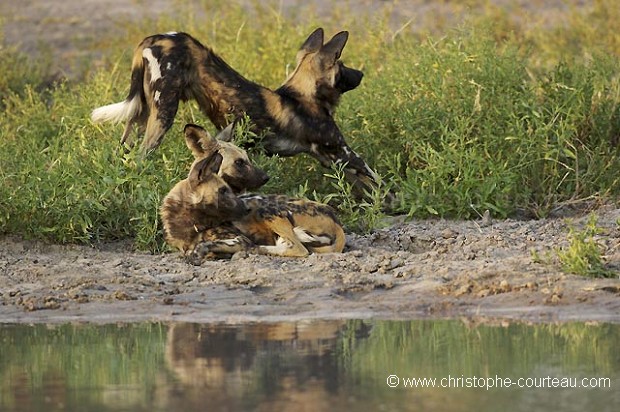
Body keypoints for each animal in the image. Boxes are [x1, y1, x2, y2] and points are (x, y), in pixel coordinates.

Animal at [91, 28, 382, 196]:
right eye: (343, 65)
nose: (361, 74)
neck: (304, 96)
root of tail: (152, 38)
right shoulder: (345, 154)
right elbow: (379, 180)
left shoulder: (331, 159)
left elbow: (368, 188)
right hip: (163, 114)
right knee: (140, 159)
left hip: (140, 117)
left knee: (123, 157)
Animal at [161, 124, 344, 262]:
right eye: (239, 162)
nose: (265, 177)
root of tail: (337, 222)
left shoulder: (239, 238)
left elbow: (205, 247)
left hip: (267, 211)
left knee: (297, 248)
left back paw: (253, 249)